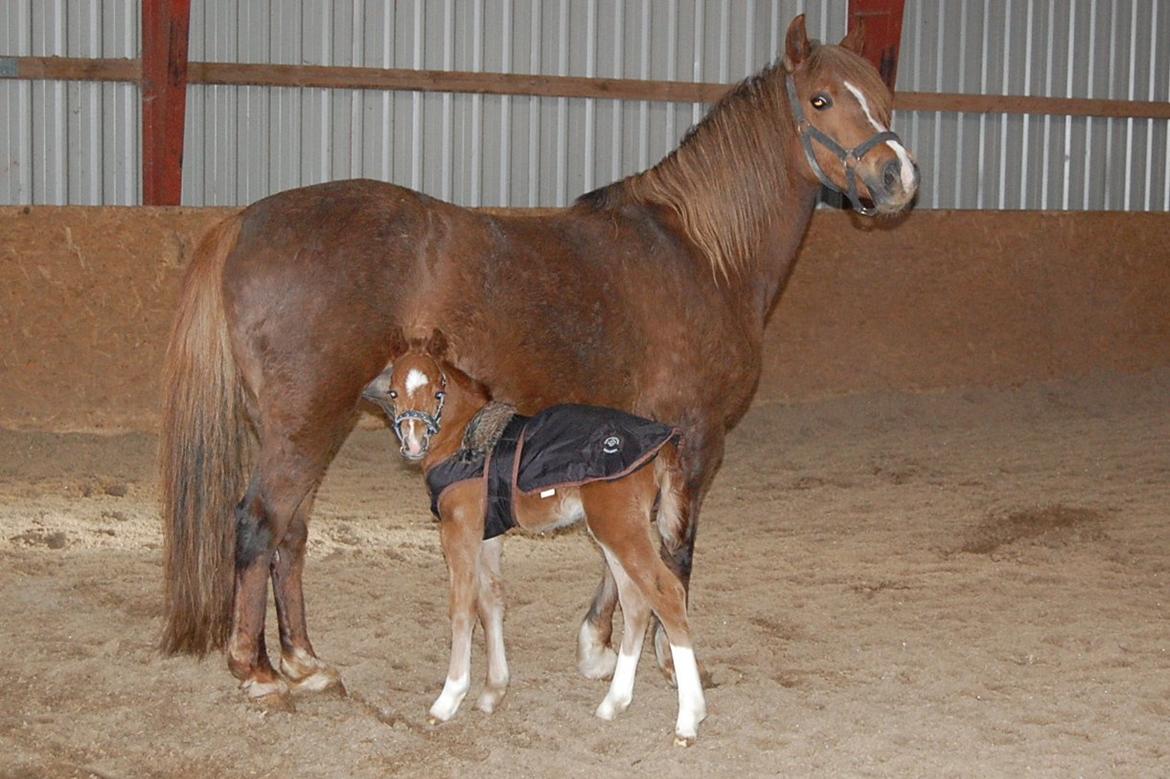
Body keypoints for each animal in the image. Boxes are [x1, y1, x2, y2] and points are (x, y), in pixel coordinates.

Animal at [365, 329, 706, 744]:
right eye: (394, 392)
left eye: (438, 391)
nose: (413, 444)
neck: (464, 439)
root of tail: (662, 444)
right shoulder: (487, 534)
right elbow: (491, 600)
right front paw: (493, 692)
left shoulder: (458, 529)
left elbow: (462, 606)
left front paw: (449, 699)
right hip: (612, 531)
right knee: (637, 602)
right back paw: (614, 703)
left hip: (620, 527)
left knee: (666, 593)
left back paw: (688, 719)